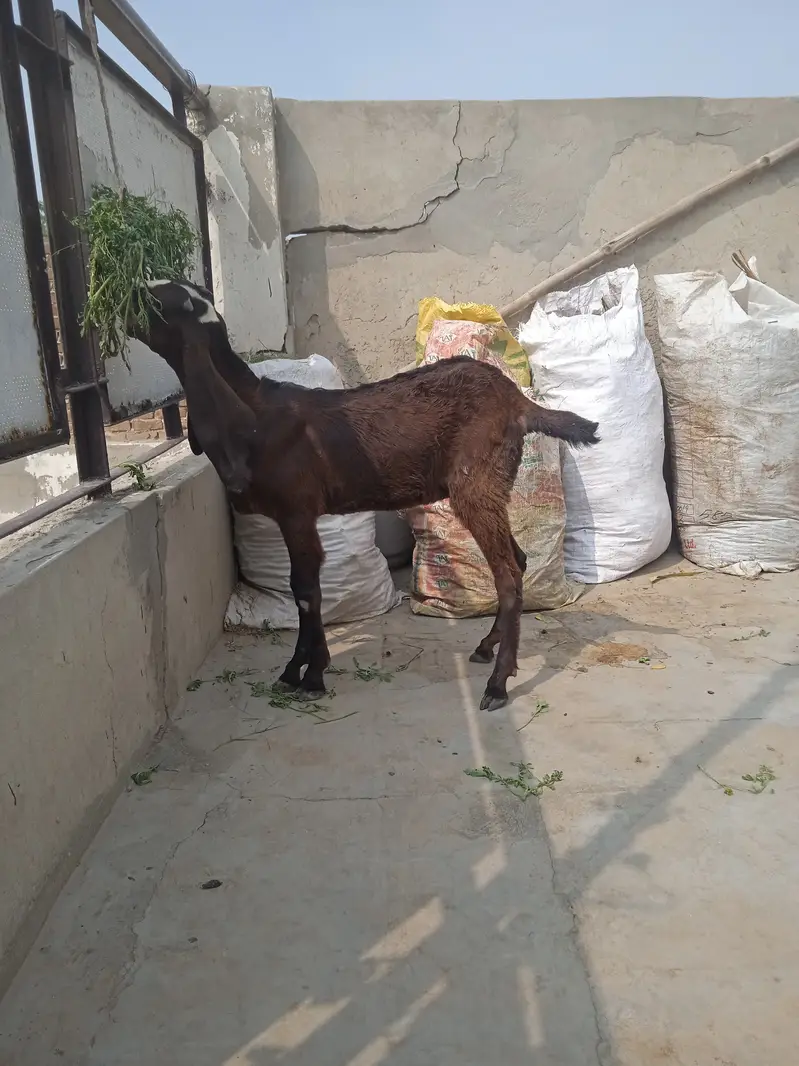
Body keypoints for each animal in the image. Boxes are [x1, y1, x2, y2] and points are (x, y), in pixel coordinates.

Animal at [128, 279, 599, 711]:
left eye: (158, 303)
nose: (123, 306)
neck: (255, 416)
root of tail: (517, 401)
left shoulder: (297, 508)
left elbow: (305, 588)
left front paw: (309, 674)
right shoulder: (294, 515)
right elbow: (303, 587)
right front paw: (296, 670)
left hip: (476, 482)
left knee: (508, 573)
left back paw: (498, 684)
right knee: (517, 559)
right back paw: (486, 648)